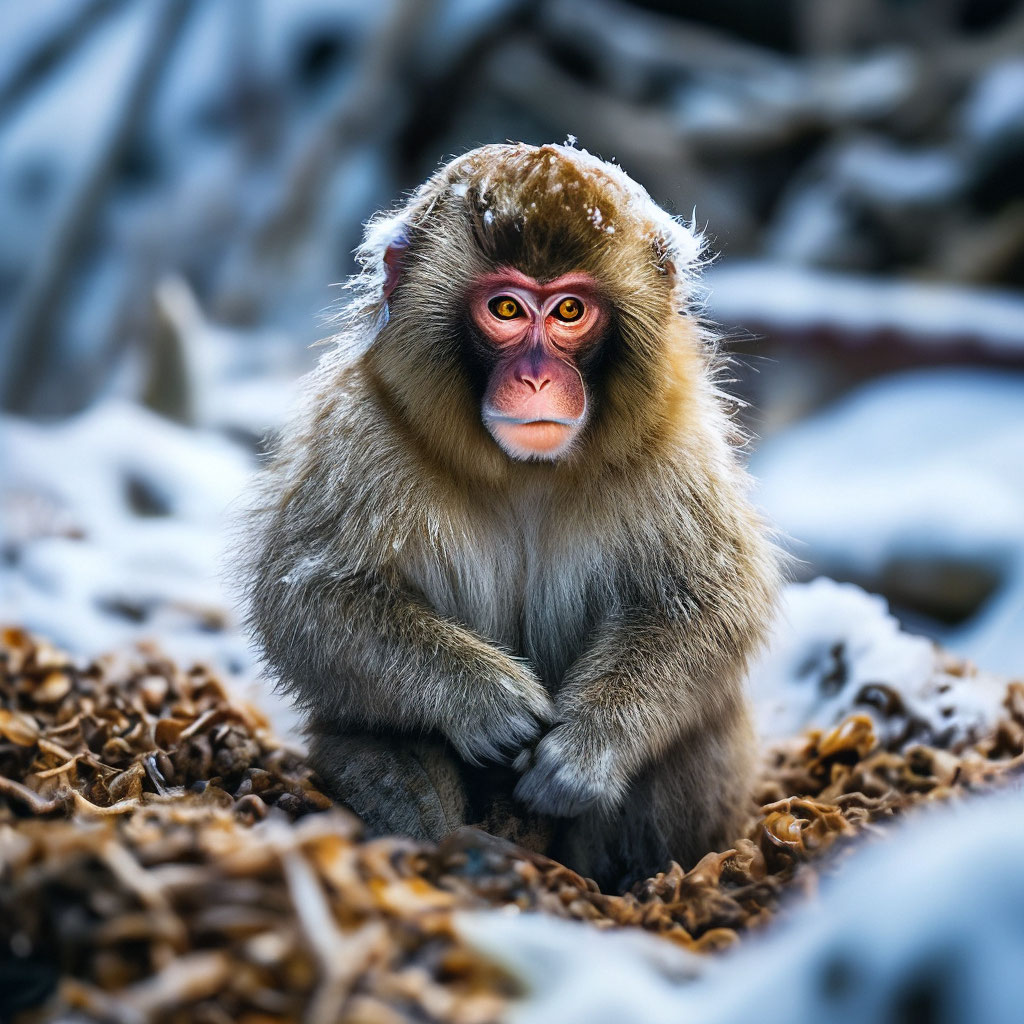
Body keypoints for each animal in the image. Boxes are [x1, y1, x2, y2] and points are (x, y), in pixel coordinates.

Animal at [237, 140, 782, 892]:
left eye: (569, 311)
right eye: (505, 308)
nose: (534, 379)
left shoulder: (675, 440)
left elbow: (709, 601)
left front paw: (585, 750)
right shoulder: (364, 427)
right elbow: (309, 596)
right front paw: (485, 701)